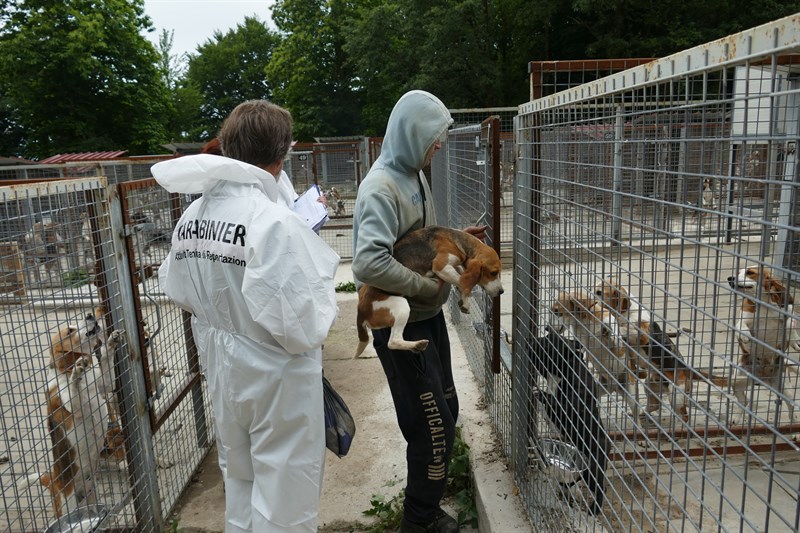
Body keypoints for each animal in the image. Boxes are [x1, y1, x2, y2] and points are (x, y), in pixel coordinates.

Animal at [354, 225, 504, 356]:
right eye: (493, 273)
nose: (501, 292)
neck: (456, 239)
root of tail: (361, 309)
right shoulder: (441, 266)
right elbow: (462, 283)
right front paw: (466, 300)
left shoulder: (455, 267)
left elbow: (461, 278)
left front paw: (463, 298)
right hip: (401, 306)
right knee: (393, 342)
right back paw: (417, 344)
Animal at [592, 276, 732, 422]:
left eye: (599, 292)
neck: (627, 312)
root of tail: (686, 369)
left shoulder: (641, 334)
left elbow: (624, 329)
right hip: (649, 384)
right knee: (654, 405)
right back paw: (642, 413)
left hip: (676, 398)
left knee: (685, 416)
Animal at [728, 266, 796, 424]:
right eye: (738, 272)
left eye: (750, 273)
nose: (730, 278)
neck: (764, 306)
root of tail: (762, 378)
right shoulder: (743, 318)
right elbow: (741, 325)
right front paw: (745, 335)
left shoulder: (787, 312)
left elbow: (790, 322)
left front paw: (795, 339)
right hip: (736, 380)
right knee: (744, 401)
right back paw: (737, 417)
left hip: (785, 388)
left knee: (791, 405)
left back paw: (794, 422)